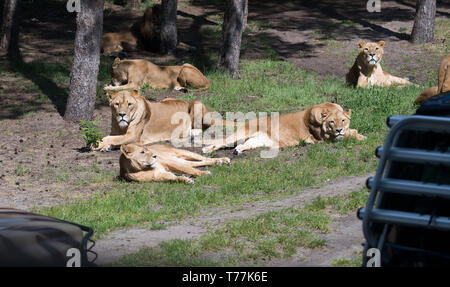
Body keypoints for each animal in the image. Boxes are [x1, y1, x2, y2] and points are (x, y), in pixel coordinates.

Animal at [94, 90, 230, 153]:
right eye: (117, 104)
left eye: (129, 104)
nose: (122, 115)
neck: (121, 126)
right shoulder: (118, 133)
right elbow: (115, 138)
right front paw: (106, 147)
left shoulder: (133, 136)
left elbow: (112, 138)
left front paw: (99, 144)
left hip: (196, 103)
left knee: (203, 128)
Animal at [200, 103, 366, 156]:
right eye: (332, 122)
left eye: (343, 120)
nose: (339, 129)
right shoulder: (323, 138)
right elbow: (347, 136)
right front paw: (360, 137)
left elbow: (351, 131)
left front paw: (358, 134)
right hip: (242, 133)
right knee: (221, 142)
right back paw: (206, 150)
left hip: (256, 142)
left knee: (242, 145)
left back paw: (238, 151)